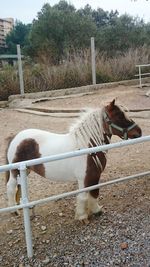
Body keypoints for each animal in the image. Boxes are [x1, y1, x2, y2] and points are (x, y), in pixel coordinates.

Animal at [5, 100, 142, 222]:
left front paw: (96, 211)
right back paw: (14, 211)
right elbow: (83, 196)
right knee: (11, 187)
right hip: (15, 171)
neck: (87, 147)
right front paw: (82, 217)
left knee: (19, 186)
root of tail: (15, 137)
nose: (139, 132)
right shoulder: (84, 178)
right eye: (119, 116)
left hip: (25, 171)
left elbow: (94, 193)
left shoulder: (94, 176)